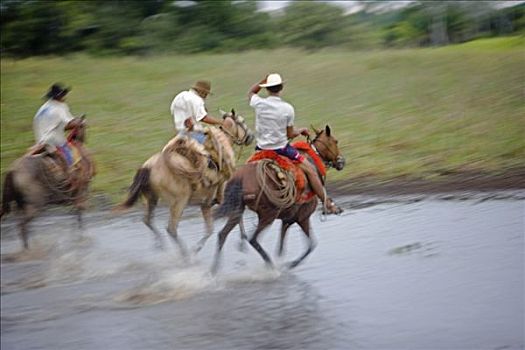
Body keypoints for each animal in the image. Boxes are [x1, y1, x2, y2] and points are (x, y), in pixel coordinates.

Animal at [0, 119, 95, 250]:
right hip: (33, 206)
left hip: (20, 206)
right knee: (22, 226)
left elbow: (76, 215)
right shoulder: (81, 193)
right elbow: (79, 215)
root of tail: (12, 170)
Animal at [115, 110, 254, 256]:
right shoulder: (223, 198)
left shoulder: (206, 204)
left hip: (152, 198)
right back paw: (185, 255)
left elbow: (212, 227)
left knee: (148, 220)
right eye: (242, 121)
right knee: (171, 228)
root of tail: (147, 168)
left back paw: (161, 245)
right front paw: (242, 241)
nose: (251, 136)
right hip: (179, 201)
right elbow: (233, 219)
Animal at [211, 126, 346, 274]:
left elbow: (281, 245)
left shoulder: (288, 219)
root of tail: (240, 177)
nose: (341, 161)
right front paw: (291, 264)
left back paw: (214, 271)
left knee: (222, 234)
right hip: (268, 215)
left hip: (238, 210)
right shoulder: (303, 217)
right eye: (335, 141)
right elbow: (311, 245)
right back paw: (271, 267)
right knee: (253, 239)